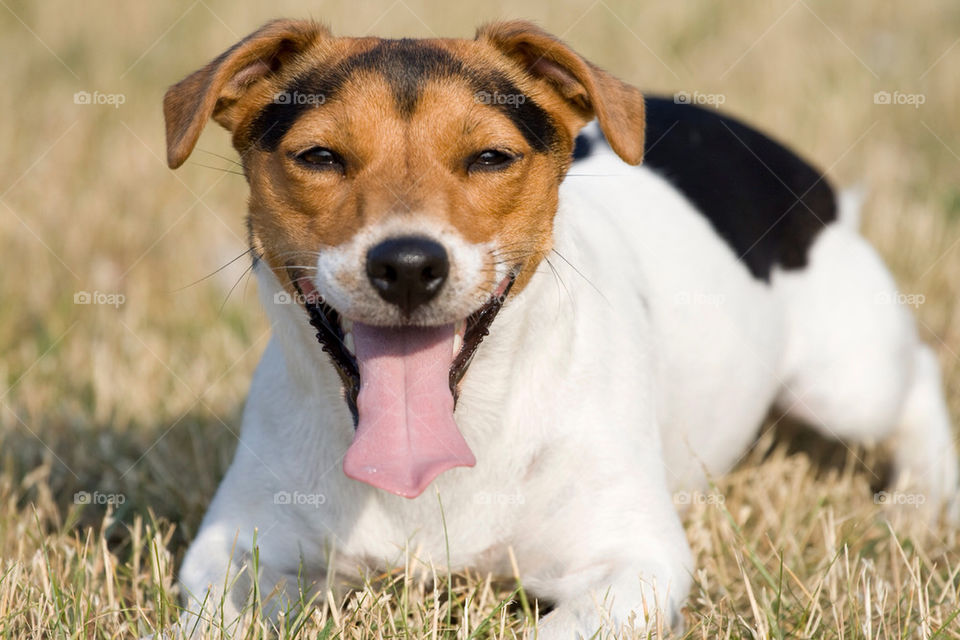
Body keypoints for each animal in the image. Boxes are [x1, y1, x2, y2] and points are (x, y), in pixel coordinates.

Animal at [161, 17, 956, 636]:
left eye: (490, 157)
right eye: (319, 156)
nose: (409, 265)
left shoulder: (634, 563)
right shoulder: (232, 556)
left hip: (846, 382)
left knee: (915, 376)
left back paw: (928, 495)